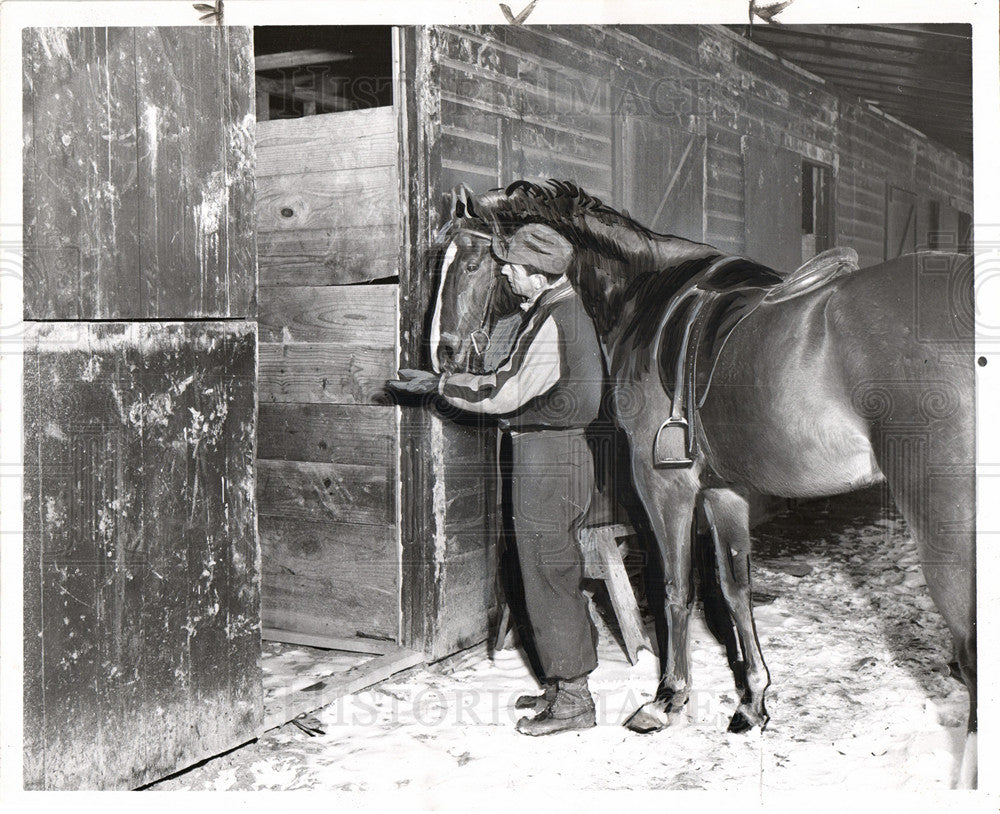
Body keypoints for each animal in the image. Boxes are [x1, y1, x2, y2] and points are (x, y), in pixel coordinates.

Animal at [430, 180, 976, 784]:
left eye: (473, 261)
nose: (445, 353)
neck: (646, 296)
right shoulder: (722, 491)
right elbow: (734, 589)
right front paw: (752, 703)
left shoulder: (665, 487)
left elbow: (675, 588)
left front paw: (667, 700)